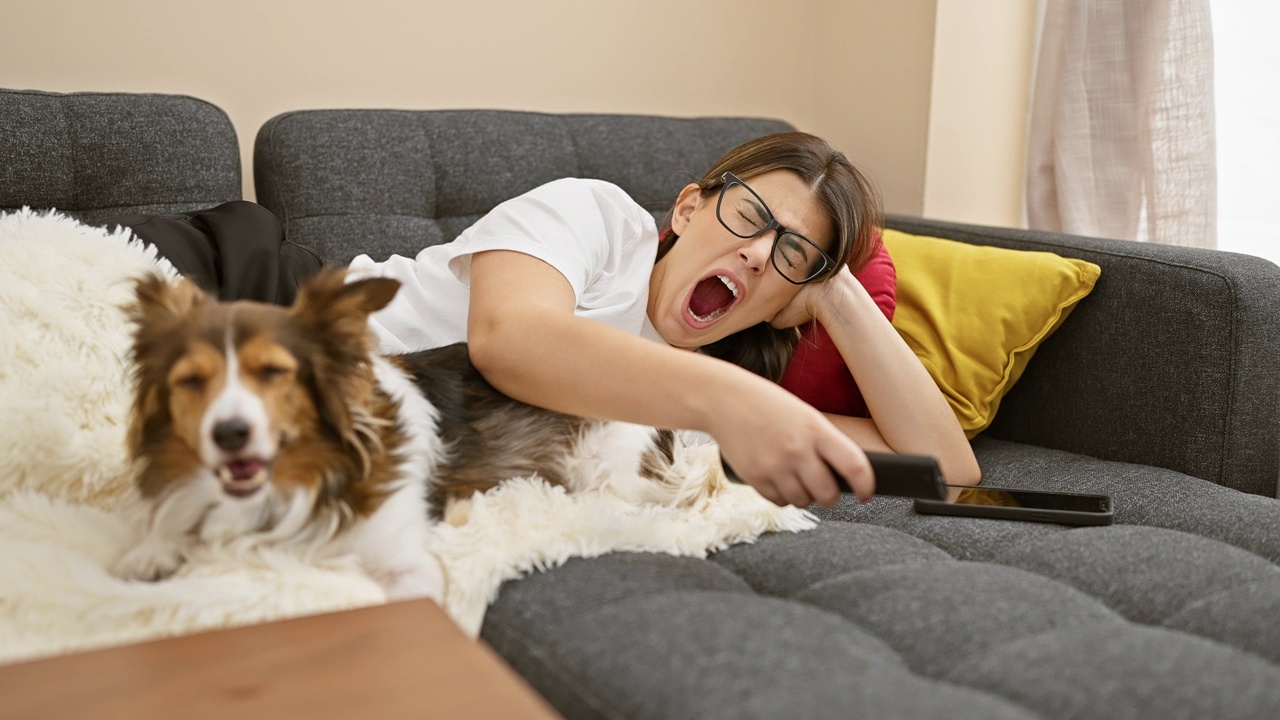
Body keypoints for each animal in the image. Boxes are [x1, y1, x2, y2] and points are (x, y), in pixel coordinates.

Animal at [111, 266, 716, 597]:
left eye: (273, 373)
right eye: (191, 382)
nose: (229, 434)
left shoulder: (405, 563)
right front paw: (152, 551)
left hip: (608, 470)